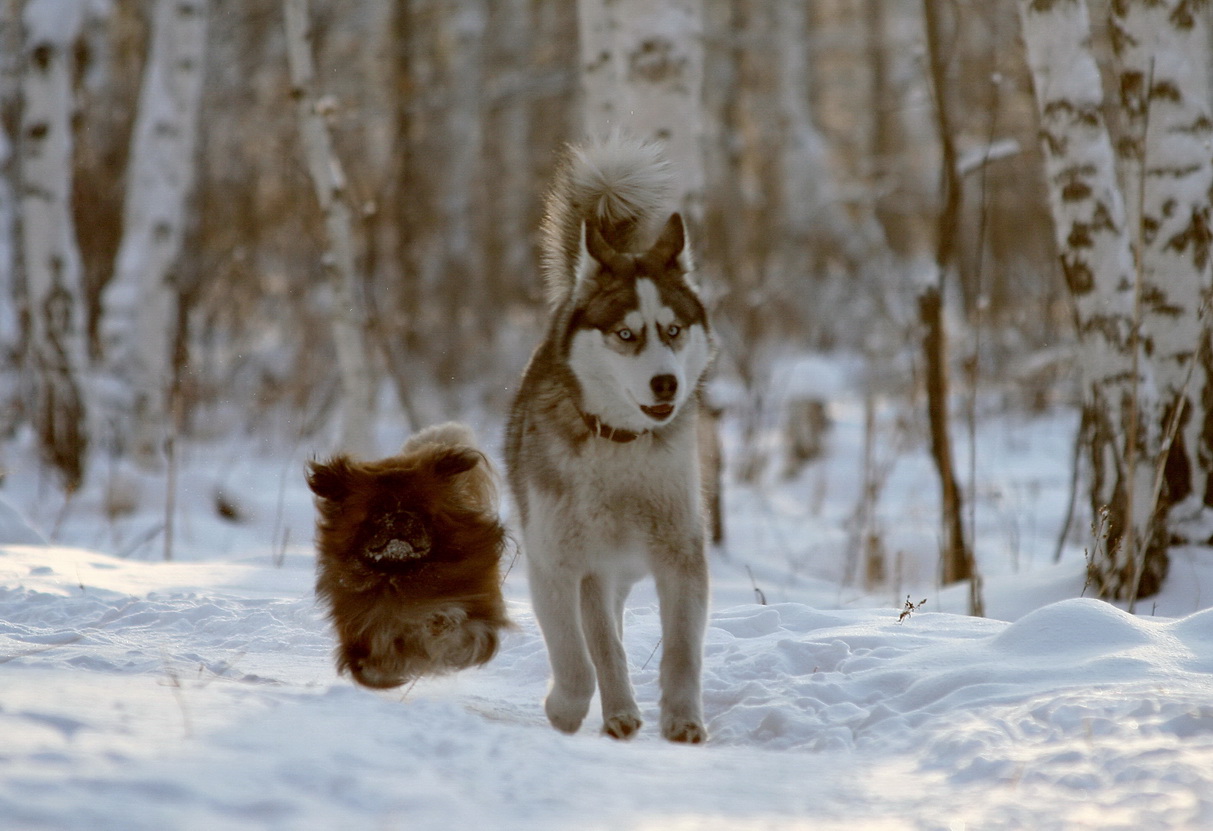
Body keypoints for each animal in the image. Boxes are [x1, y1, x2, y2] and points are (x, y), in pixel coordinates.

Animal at [308, 422, 511, 689]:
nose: (400, 517)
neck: (402, 577)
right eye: (377, 514)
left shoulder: (479, 620)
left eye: (420, 511)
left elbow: (459, 630)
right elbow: (372, 664)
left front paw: (440, 623)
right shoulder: (359, 638)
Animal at [504, 134, 713, 737]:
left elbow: (682, 651)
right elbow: (584, 654)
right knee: (590, 641)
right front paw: (576, 709)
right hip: (575, 564)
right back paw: (602, 709)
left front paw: (683, 721)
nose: (666, 382)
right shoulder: (567, 563)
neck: (623, 447)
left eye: (673, 329)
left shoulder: (681, 555)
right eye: (625, 334)